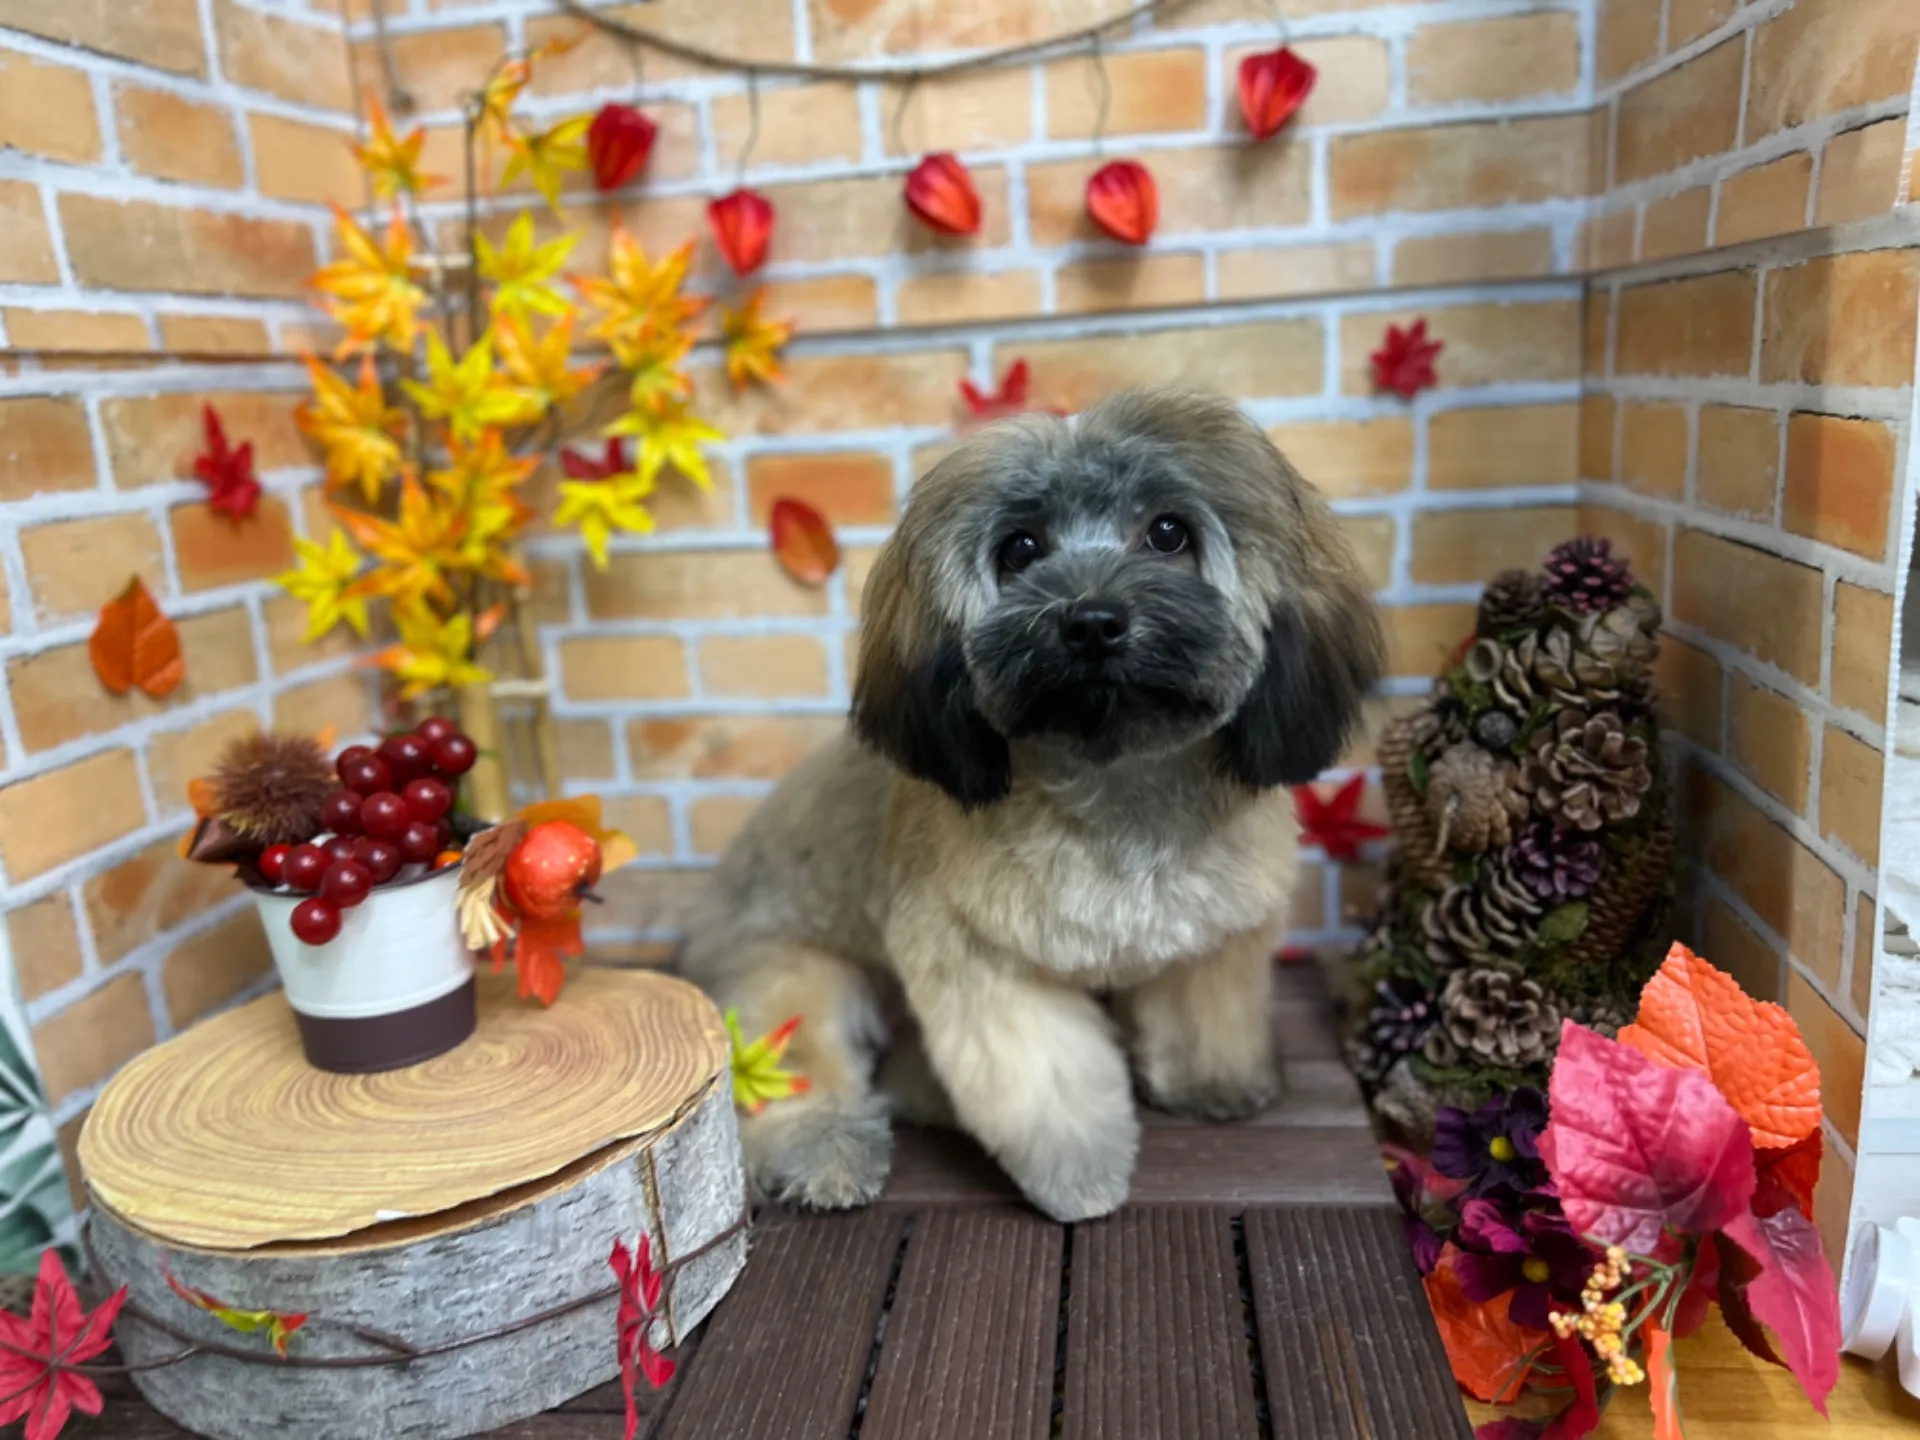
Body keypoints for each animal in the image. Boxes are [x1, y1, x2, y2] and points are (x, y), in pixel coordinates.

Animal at [678, 387, 1383, 1222]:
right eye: (1020, 549)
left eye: (1168, 532)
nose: (1092, 622)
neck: (1122, 795)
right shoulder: (982, 961)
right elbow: (1045, 1083)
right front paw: (1081, 1179)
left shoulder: (1215, 940)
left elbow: (1204, 1016)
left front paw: (1216, 1085)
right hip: (791, 983)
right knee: (795, 1078)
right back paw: (827, 1149)